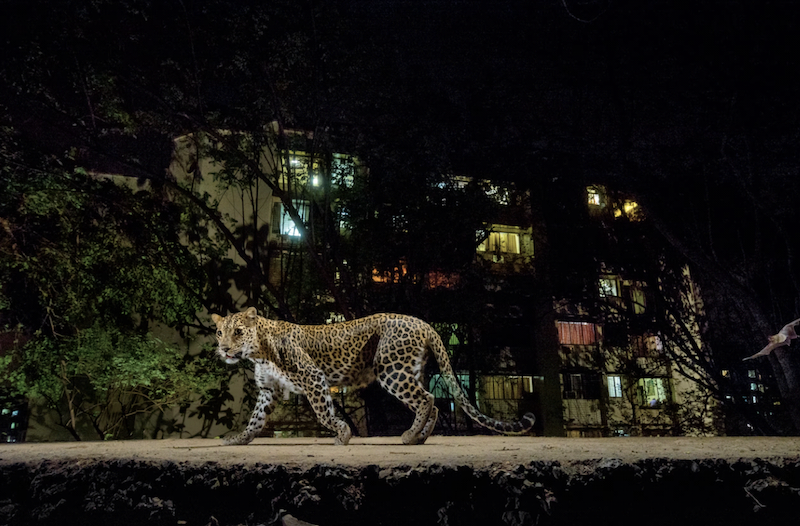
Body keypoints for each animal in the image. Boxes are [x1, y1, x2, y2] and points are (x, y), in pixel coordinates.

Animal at [212, 308, 536, 448]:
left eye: (238, 331)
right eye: (219, 332)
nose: (224, 349)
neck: (259, 351)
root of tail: (424, 323)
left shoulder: (312, 376)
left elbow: (323, 413)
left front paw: (343, 434)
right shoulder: (269, 389)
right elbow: (256, 419)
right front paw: (239, 439)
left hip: (391, 369)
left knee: (427, 398)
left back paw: (409, 436)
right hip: (410, 370)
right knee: (433, 403)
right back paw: (420, 437)